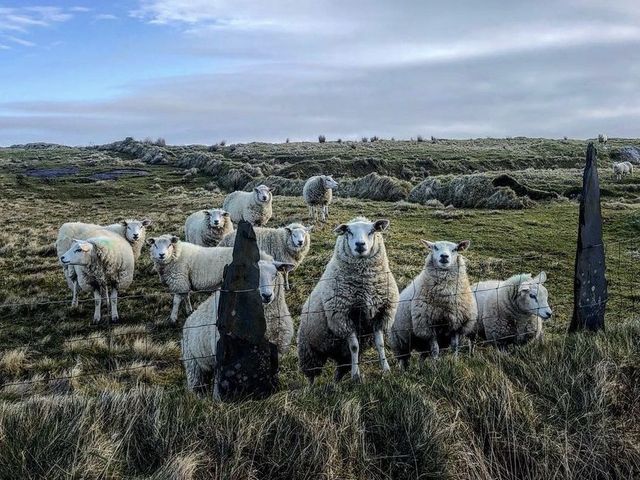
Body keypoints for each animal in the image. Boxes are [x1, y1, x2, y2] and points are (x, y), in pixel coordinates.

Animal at [298, 217, 398, 382]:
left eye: (372, 231)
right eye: (349, 232)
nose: (360, 245)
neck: (365, 284)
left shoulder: (380, 314)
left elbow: (380, 344)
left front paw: (386, 369)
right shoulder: (342, 316)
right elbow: (354, 347)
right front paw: (356, 376)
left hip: (340, 356)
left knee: (340, 369)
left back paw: (335, 383)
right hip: (309, 351)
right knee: (311, 375)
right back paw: (312, 387)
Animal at [388, 238, 478, 366]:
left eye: (455, 249)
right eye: (435, 247)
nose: (444, 256)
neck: (446, 298)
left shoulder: (456, 325)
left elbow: (455, 347)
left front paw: (455, 362)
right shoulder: (428, 327)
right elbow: (435, 350)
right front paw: (435, 366)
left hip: (421, 343)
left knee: (422, 356)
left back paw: (420, 368)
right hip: (399, 340)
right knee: (403, 359)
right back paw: (403, 369)